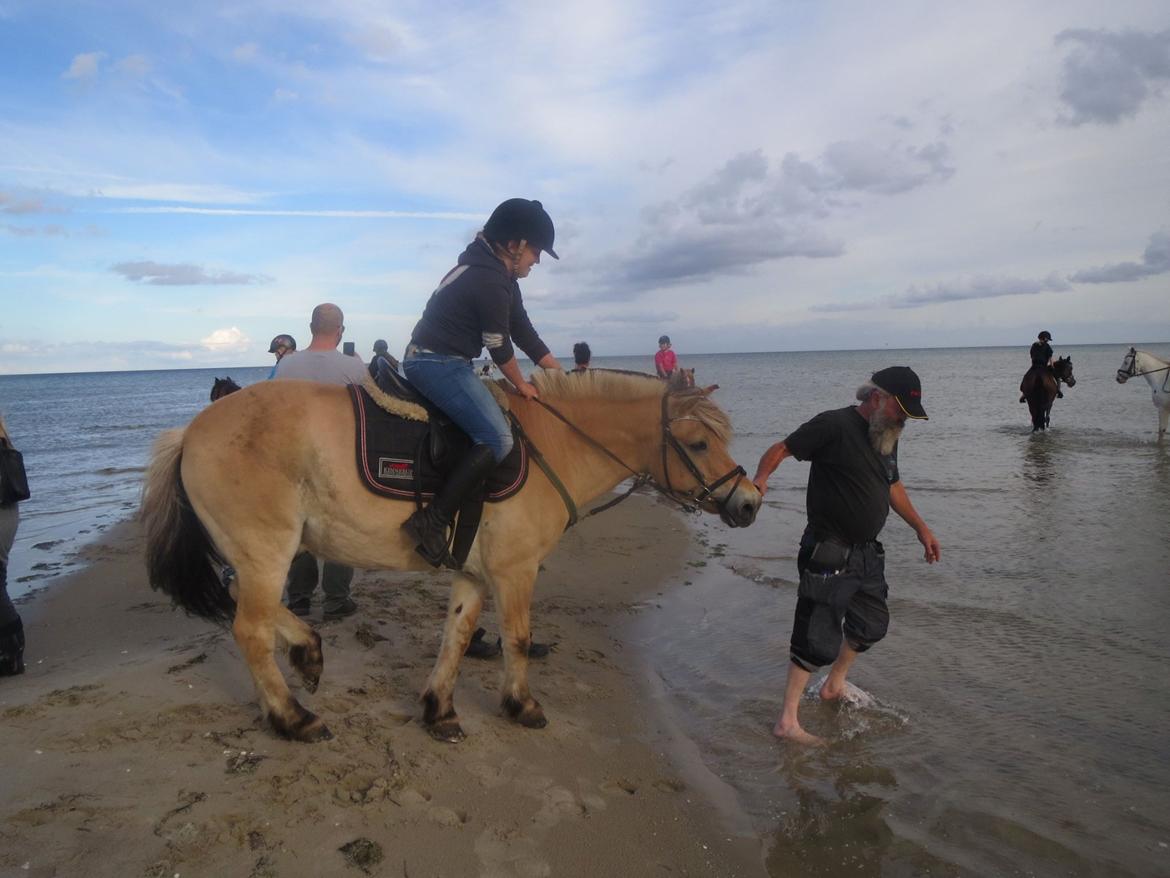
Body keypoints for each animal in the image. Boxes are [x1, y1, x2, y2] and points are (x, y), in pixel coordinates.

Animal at [141, 369, 762, 744]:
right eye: (700, 443)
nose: (750, 503)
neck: (549, 446)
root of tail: (190, 432)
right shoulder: (514, 571)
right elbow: (517, 639)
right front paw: (521, 705)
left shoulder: (473, 575)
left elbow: (457, 638)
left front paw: (439, 709)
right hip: (266, 551)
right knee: (249, 628)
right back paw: (293, 716)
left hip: (257, 557)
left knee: (253, 611)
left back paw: (308, 652)